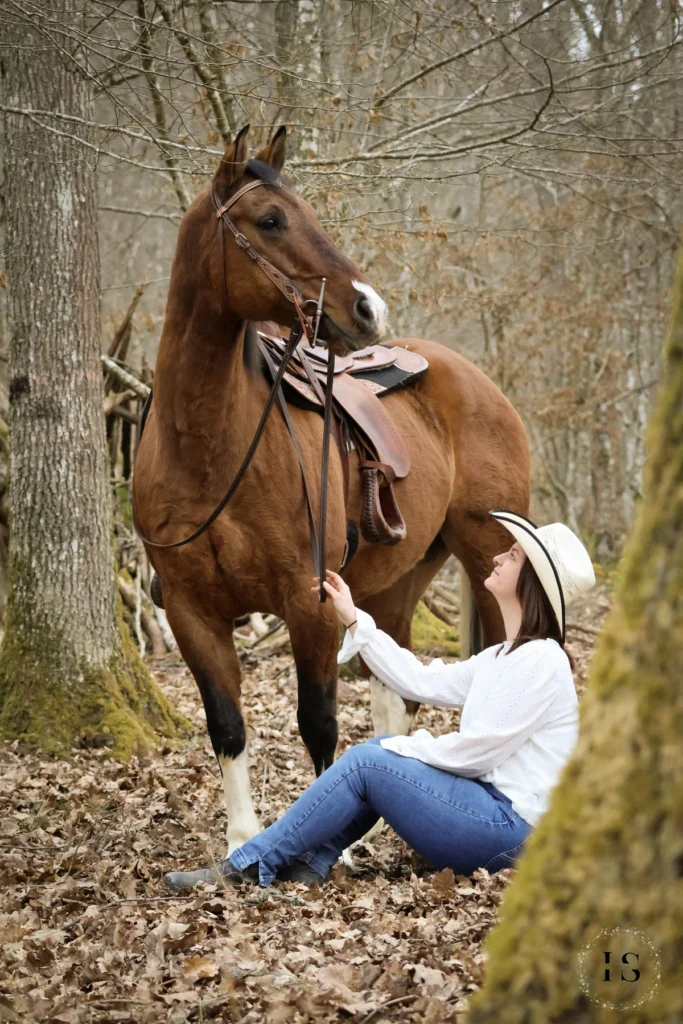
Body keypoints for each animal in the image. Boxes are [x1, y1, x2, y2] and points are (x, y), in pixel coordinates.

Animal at [132, 125, 530, 854]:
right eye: (270, 219)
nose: (368, 307)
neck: (205, 445)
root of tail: (477, 382)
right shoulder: (190, 610)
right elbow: (227, 725)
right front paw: (241, 839)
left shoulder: (307, 600)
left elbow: (316, 722)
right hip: (402, 575)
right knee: (394, 692)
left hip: (490, 553)